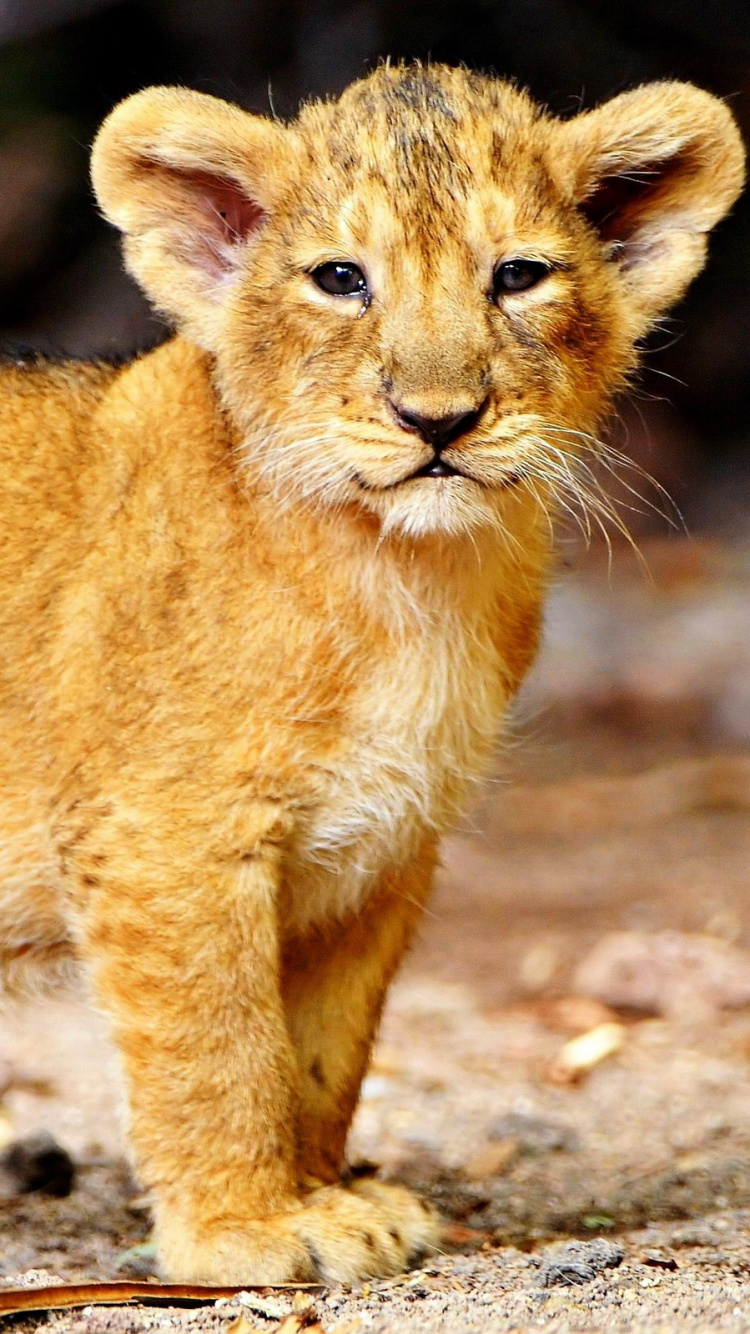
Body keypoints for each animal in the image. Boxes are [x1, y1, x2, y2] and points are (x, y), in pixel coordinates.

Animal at [0, 63, 742, 1283]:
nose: (438, 419)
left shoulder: (381, 850)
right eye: (340, 279)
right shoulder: (164, 838)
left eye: (519, 275)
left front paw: (330, 1200)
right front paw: (243, 1229)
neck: (404, 580)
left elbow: (320, 1053)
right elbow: (218, 1046)